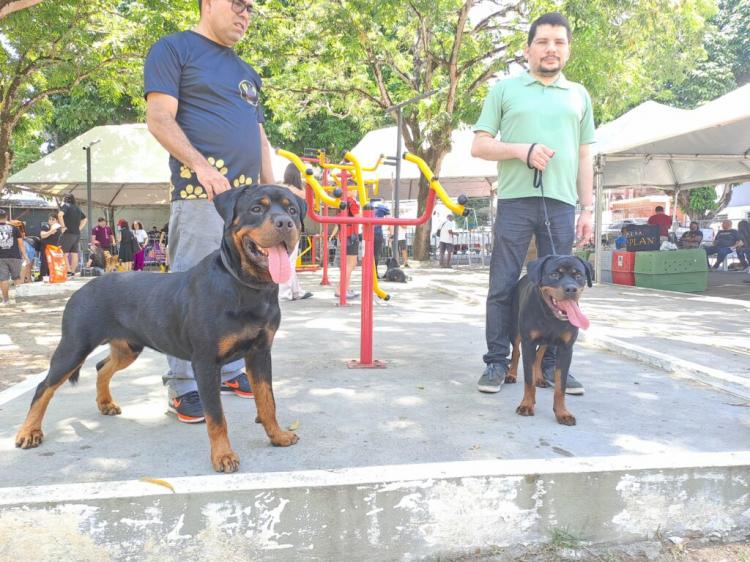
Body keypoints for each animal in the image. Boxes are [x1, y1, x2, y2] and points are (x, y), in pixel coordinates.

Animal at [15, 185, 306, 473]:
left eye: (292, 209)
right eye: (256, 208)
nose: (285, 223)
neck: (245, 285)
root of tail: (82, 289)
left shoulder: (260, 353)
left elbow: (267, 400)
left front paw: (278, 435)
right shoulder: (206, 362)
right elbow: (216, 416)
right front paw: (223, 456)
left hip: (128, 347)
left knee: (101, 367)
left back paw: (105, 403)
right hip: (74, 347)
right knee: (44, 387)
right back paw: (29, 432)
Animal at [505, 255, 592, 426]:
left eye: (578, 275)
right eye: (554, 275)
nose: (571, 289)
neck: (551, 316)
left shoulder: (566, 349)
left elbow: (560, 386)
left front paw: (562, 413)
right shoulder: (528, 343)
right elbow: (528, 380)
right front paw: (526, 404)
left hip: (546, 341)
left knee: (540, 354)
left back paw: (540, 378)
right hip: (515, 329)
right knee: (516, 351)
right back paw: (511, 374)